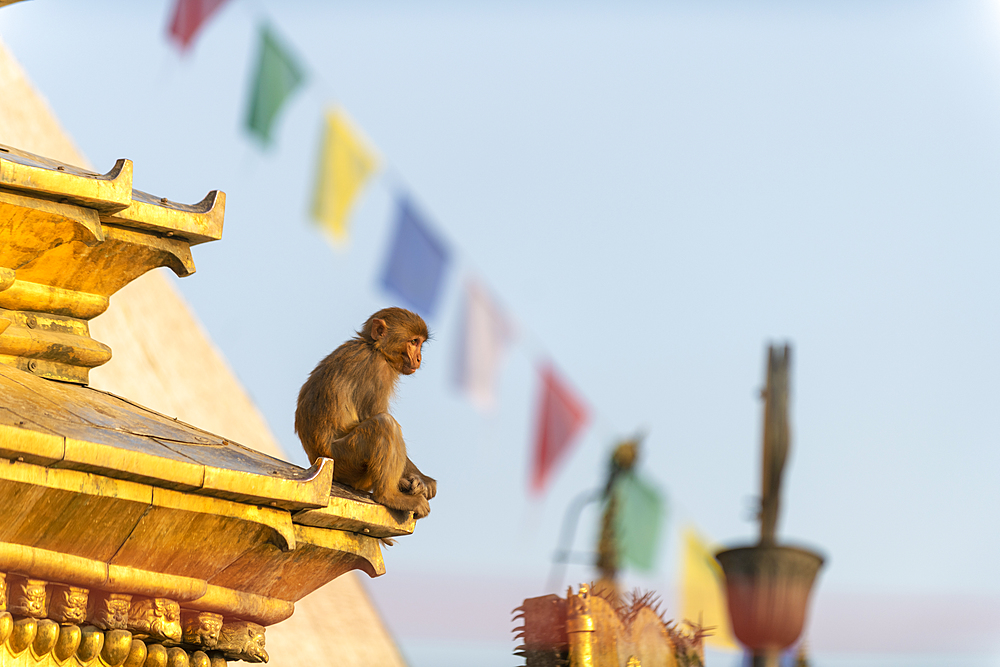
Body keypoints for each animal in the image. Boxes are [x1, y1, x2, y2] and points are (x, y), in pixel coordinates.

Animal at [296, 306, 438, 520]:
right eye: (414, 342)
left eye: (420, 343)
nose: (419, 358)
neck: (374, 348)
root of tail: (318, 460)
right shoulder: (377, 370)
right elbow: (375, 414)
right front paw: (423, 480)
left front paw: (418, 481)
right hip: (346, 460)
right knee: (384, 424)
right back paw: (388, 496)